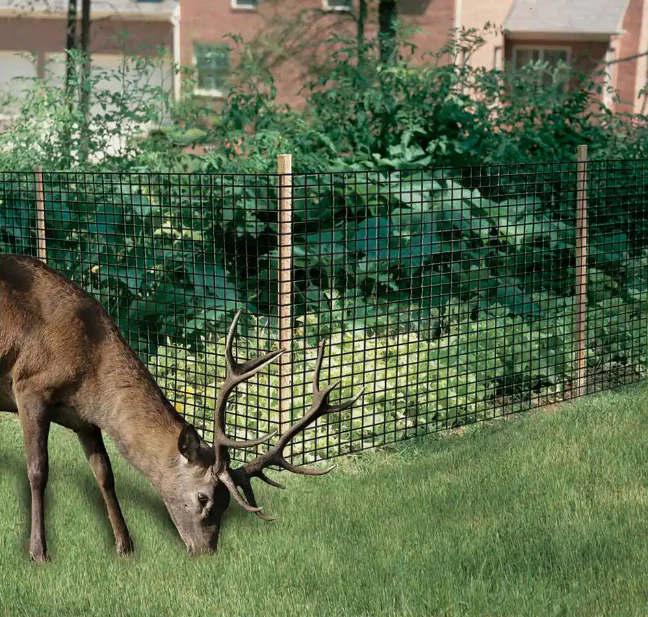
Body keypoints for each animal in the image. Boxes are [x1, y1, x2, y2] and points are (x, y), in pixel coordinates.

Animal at [0, 253, 363, 562]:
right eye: (203, 498)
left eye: (227, 504)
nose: (206, 551)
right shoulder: (30, 387)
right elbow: (38, 471)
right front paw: (38, 552)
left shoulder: (84, 419)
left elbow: (105, 474)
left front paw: (125, 547)